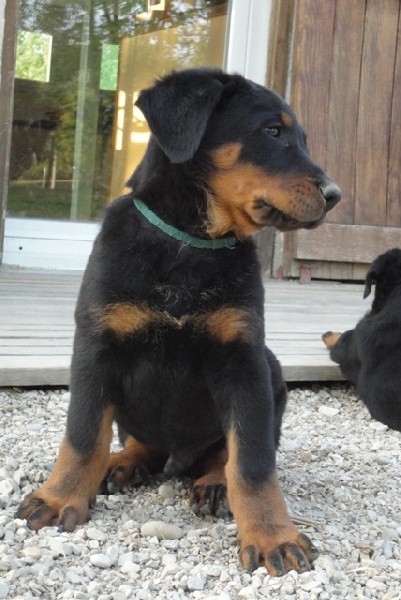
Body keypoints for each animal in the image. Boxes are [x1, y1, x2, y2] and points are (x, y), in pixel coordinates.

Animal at [16, 68, 341, 576]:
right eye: (272, 131)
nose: (335, 195)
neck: (190, 242)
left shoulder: (243, 361)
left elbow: (252, 462)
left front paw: (272, 536)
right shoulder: (96, 346)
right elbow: (83, 434)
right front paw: (60, 497)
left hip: (271, 369)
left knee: (225, 450)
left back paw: (212, 482)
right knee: (142, 441)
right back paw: (122, 462)